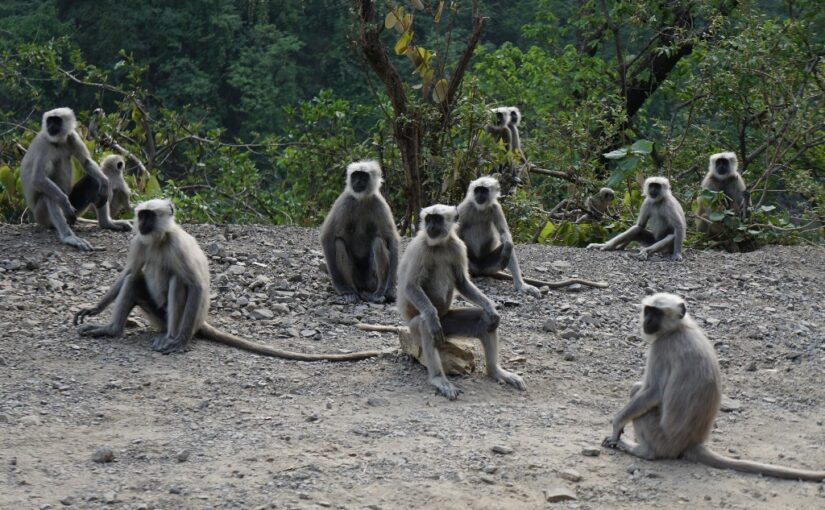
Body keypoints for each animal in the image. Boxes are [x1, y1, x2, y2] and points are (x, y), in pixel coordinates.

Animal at [20, 107, 130, 251]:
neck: (58, 141)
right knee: (48, 195)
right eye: (50, 120)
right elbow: (38, 179)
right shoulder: (44, 142)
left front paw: (105, 183)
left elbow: (86, 163)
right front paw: (65, 203)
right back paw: (68, 237)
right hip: (42, 216)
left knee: (94, 183)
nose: (50, 126)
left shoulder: (72, 136)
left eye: (56, 120)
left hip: (76, 210)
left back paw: (107, 223)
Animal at [72, 199, 382, 362]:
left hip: (176, 317)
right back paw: (111, 330)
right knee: (136, 280)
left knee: (178, 283)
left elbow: (196, 285)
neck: (158, 239)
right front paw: (94, 309)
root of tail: (200, 322)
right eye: (142, 215)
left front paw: (179, 342)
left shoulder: (176, 245)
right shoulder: (139, 241)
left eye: (150, 215)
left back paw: (172, 337)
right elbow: (128, 273)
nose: (143, 222)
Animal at [318, 160, 400, 302]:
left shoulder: (380, 204)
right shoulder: (344, 201)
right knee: (339, 243)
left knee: (378, 242)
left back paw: (379, 291)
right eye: (355, 176)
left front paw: (390, 290)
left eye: (363, 176)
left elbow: (392, 239)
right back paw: (352, 292)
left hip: (371, 281)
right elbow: (327, 236)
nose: (356, 182)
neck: (362, 200)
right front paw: (340, 287)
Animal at [396, 203, 524, 398]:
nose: (430, 226)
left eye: (437, 219)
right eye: (429, 219)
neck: (440, 244)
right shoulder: (420, 248)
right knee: (426, 326)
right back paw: (438, 378)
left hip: (448, 323)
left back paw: (495, 371)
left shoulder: (457, 247)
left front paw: (491, 308)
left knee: (484, 320)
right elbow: (410, 286)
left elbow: (462, 282)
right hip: (415, 327)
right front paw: (431, 316)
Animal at [600, 292, 824, 480]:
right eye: (648, 310)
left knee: (638, 391)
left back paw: (643, 451)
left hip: (661, 438)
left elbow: (652, 392)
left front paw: (616, 425)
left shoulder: (662, 347)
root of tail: (691, 443)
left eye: (656, 313)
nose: (647, 321)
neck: (680, 328)